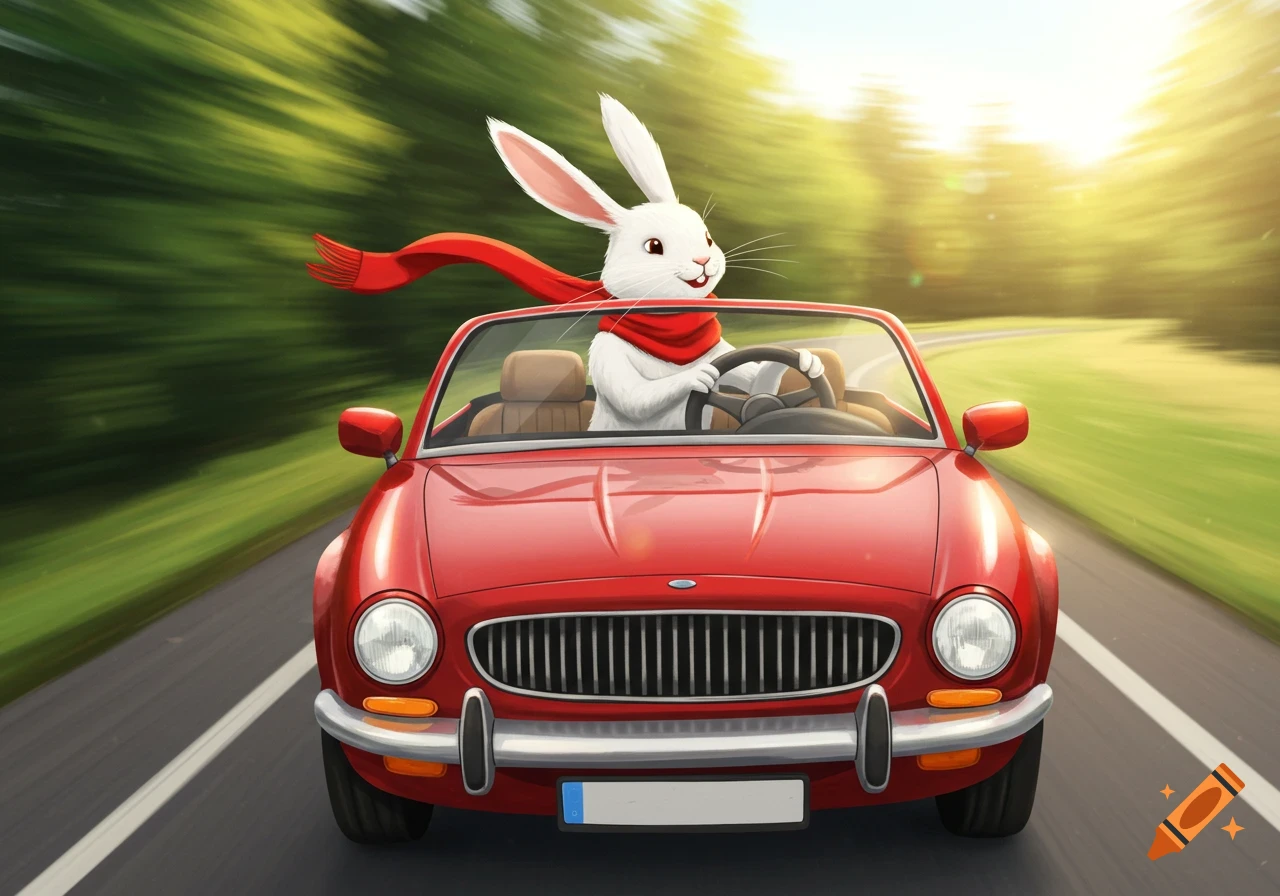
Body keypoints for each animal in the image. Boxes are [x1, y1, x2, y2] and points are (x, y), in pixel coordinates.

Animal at [487, 94, 823, 432]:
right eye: (653, 246)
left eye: (707, 238)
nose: (703, 260)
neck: (668, 328)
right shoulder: (608, 353)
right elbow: (635, 398)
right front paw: (696, 376)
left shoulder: (719, 352)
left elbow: (759, 383)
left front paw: (808, 360)